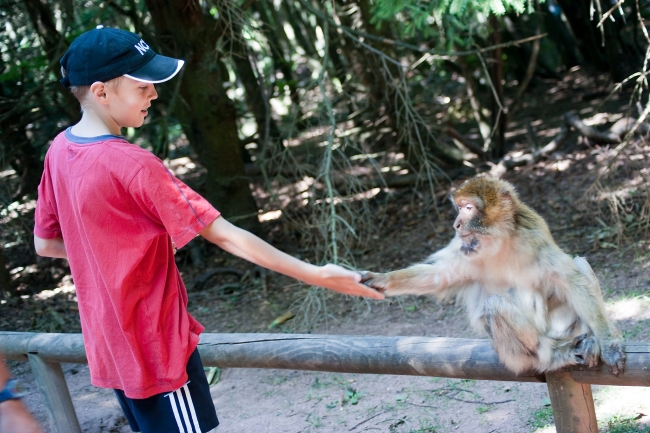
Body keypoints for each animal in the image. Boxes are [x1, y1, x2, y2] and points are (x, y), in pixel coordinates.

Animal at [362, 176, 624, 374]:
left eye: (468, 208)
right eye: (459, 208)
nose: (456, 224)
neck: (499, 242)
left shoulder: (533, 236)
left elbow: (570, 279)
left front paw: (609, 343)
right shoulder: (464, 250)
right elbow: (440, 275)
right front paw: (379, 279)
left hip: (565, 326)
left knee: (579, 265)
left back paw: (590, 339)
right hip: (515, 354)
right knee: (495, 304)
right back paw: (552, 355)